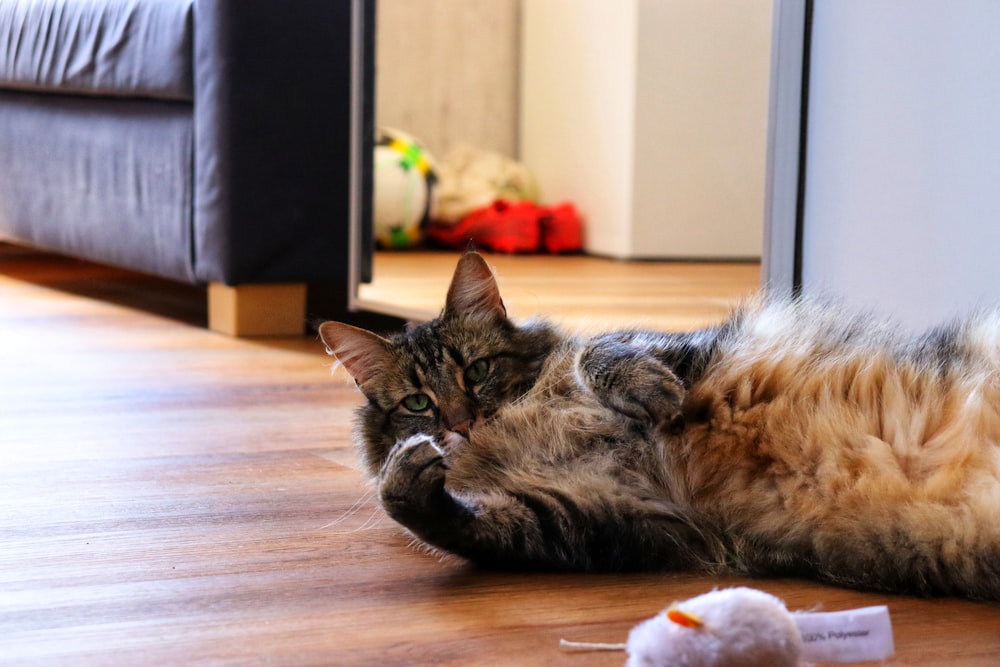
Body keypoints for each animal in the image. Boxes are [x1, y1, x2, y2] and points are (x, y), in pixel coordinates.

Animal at [322, 253, 1000, 604]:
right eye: (417, 403)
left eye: (478, 371)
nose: (462, 425)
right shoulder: (597, 516)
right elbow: (444, 519)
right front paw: (408, 472)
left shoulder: (664, 346)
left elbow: (606, 354)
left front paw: (655, 396)